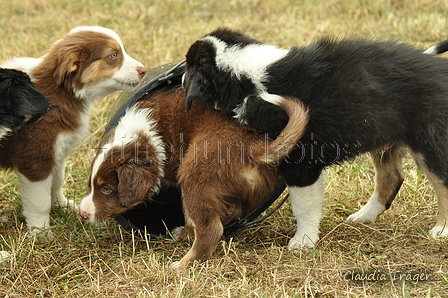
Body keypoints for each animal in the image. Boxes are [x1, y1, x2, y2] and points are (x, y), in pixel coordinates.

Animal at [0, 25, 147, 232]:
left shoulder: (58, 152)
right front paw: (41, 231)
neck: (64, 92)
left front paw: (62, 205)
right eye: (113, 55)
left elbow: (56, 182)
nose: (144, 70)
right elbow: (39, 201)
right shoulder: (36, 158)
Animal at [78, 81, 308, 266]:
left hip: (194, 174)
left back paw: (182, 264)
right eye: (91, 185)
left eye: (107, 189)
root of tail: (254, 147)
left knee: (210, 228)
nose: (82, 213)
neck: (148, 136)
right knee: (221, 215)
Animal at [182, 27, 448, 251]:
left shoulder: (300, 162)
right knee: (391, 177)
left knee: (441, 183)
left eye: (189, 67)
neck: (249, 79)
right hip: (383, 134)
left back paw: (441, 230)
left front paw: (303, 242)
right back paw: (364, 216)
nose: (181, 79)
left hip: (431, 139)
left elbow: (303, 206)